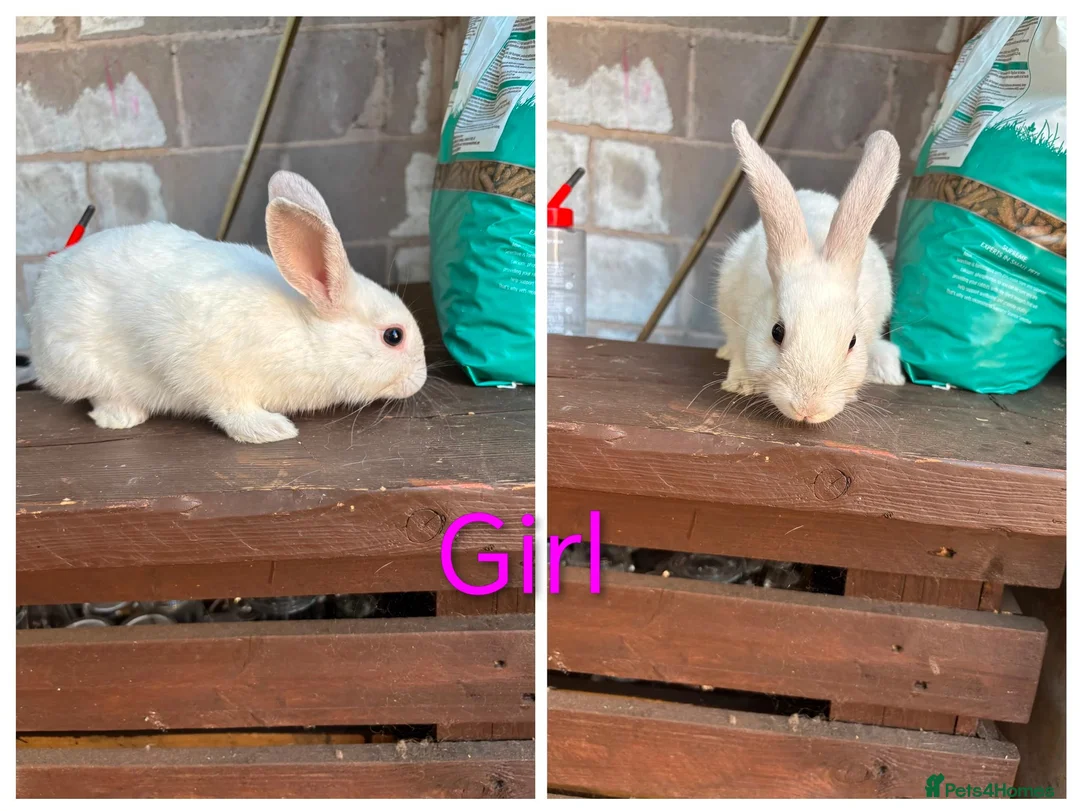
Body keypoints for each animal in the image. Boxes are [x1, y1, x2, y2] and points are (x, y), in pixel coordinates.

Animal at [28, 171, 427, 444]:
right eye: (393, 336)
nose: (420, 380)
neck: (306, 331)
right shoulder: (206, 369)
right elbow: (230, 409)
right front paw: (272, 430)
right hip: (84, 365)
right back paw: (122, 417)